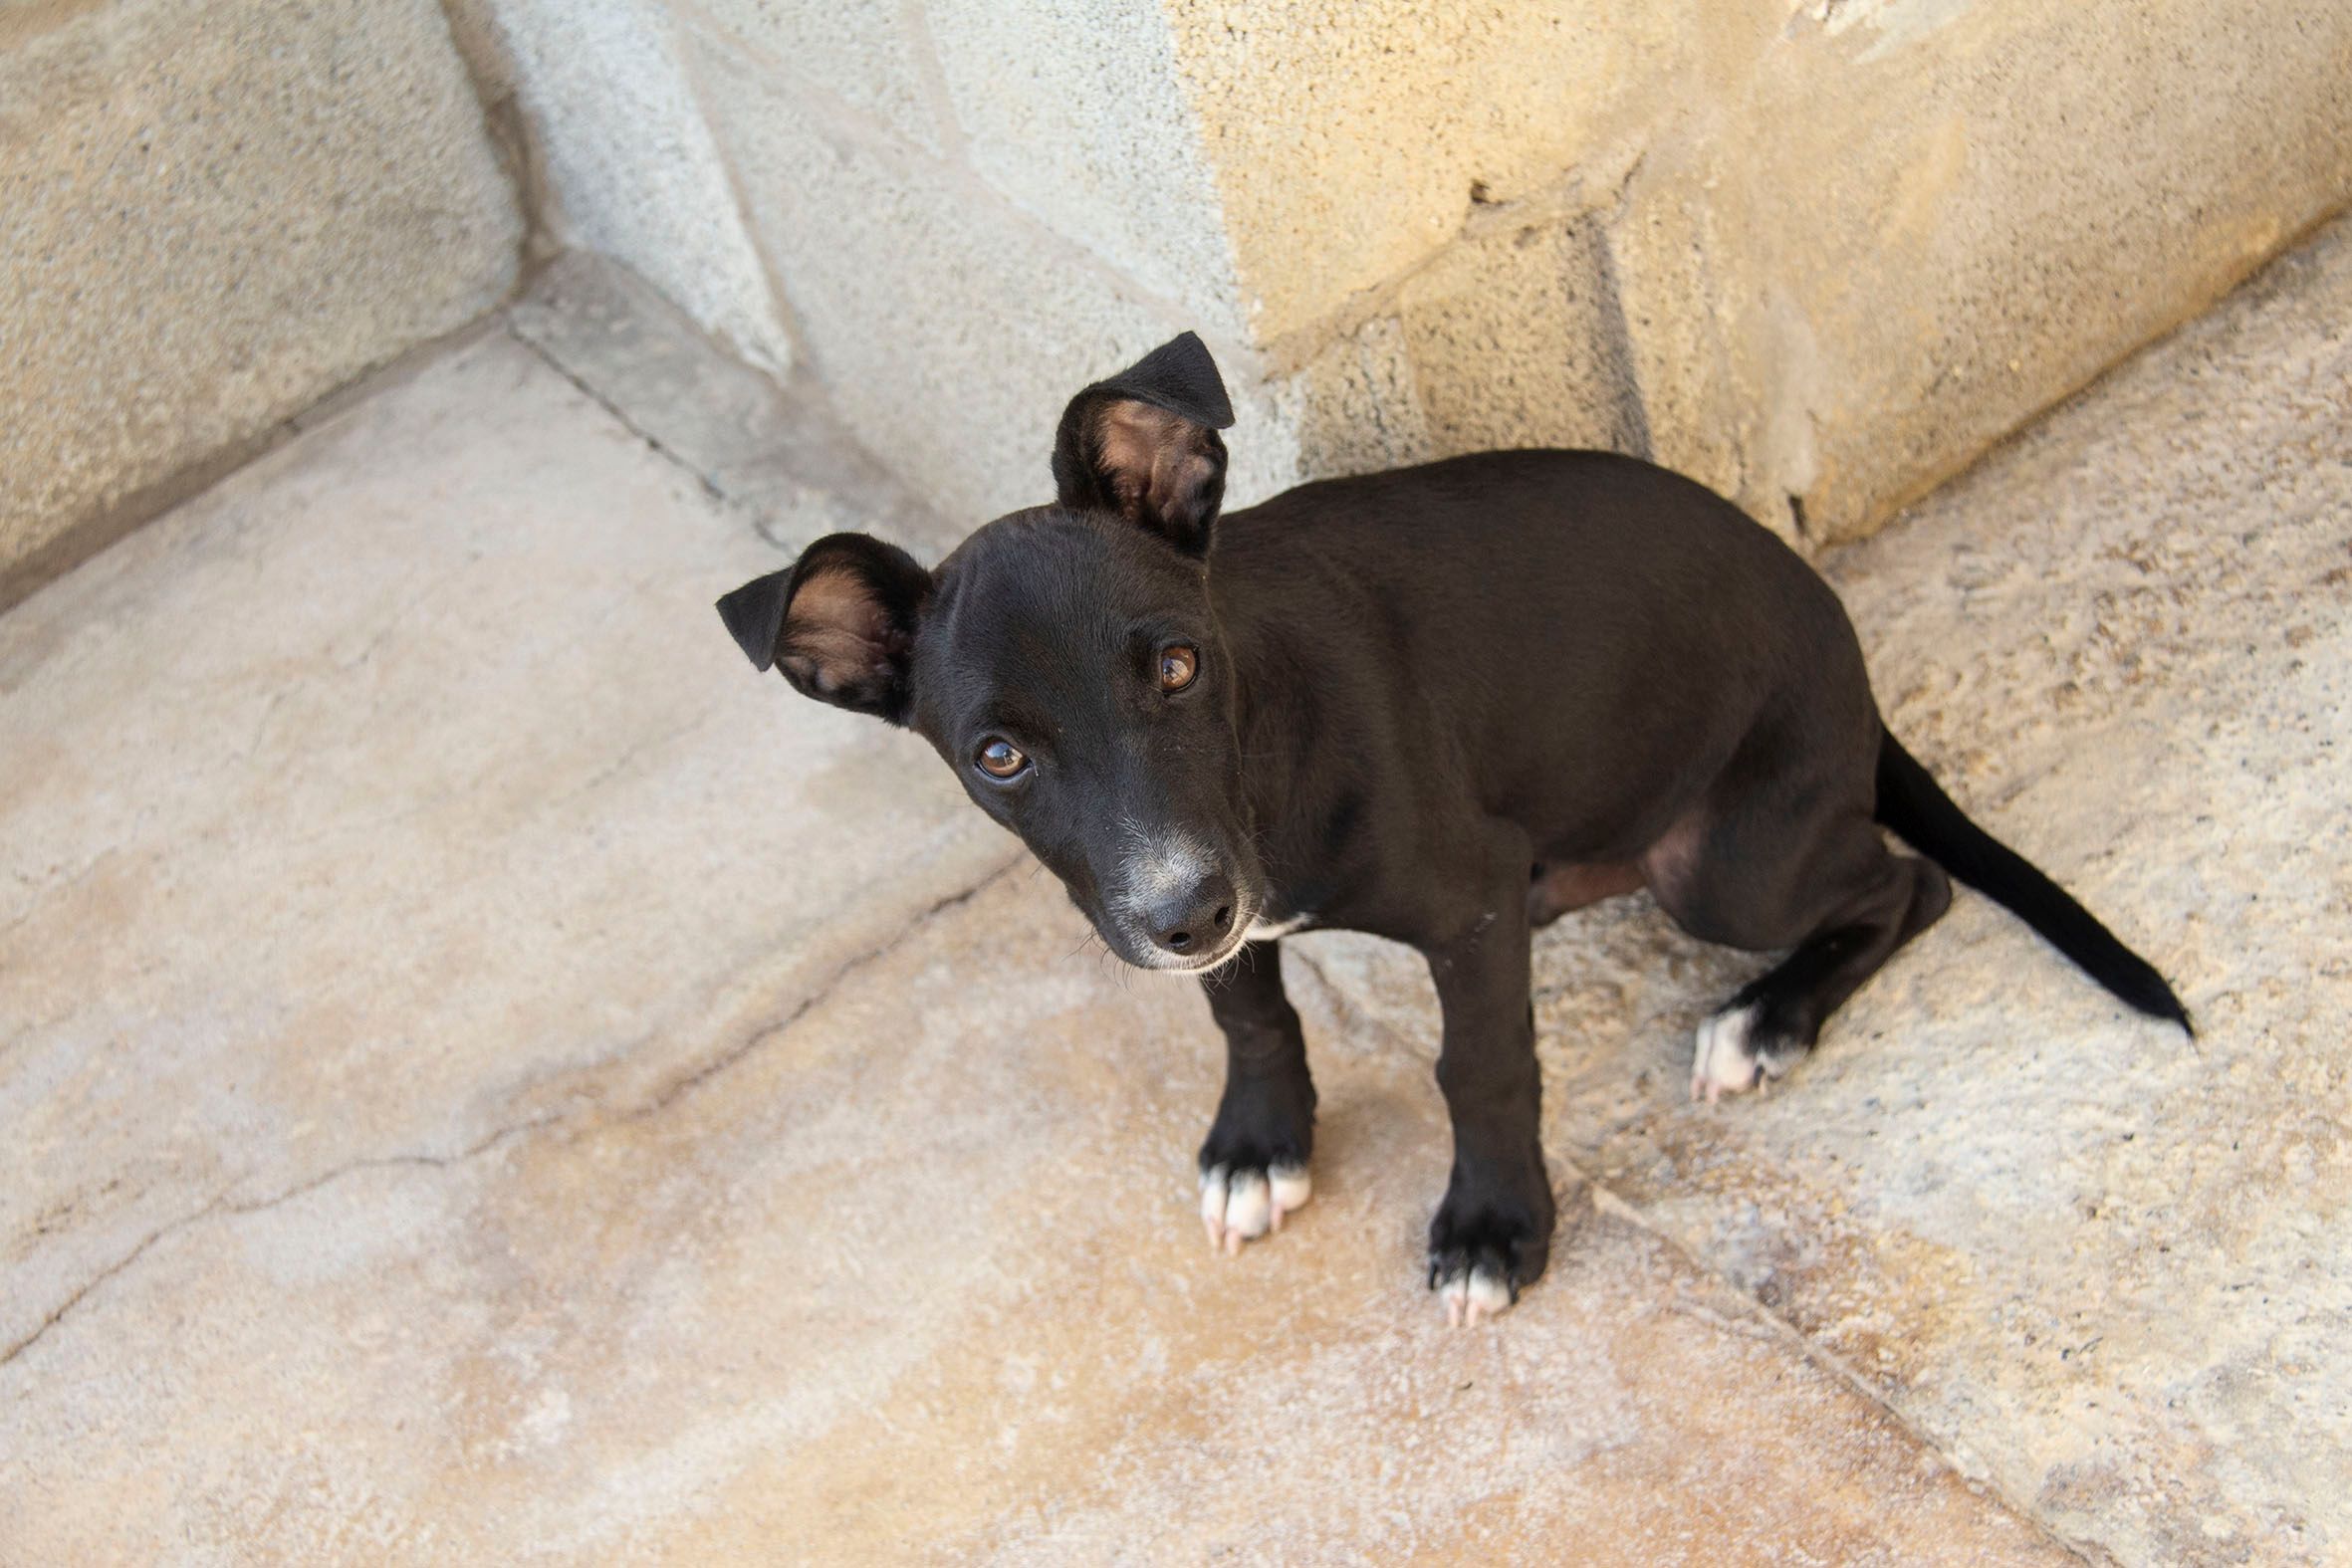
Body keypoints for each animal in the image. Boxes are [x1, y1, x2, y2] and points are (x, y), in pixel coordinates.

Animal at [717, 332, 2188, 1325]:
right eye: (999, 756)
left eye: (1178, 667)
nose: (1181, 912)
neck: (1266, 728)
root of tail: (1852, 674)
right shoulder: (1209, 900)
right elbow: (1248, 1008)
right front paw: (1259, 1142)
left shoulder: (1467, 903)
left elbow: (1479, 1067)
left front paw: (1491, 1226)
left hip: (1722, 868)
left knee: (1904, 888)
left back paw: (1765, 1019)